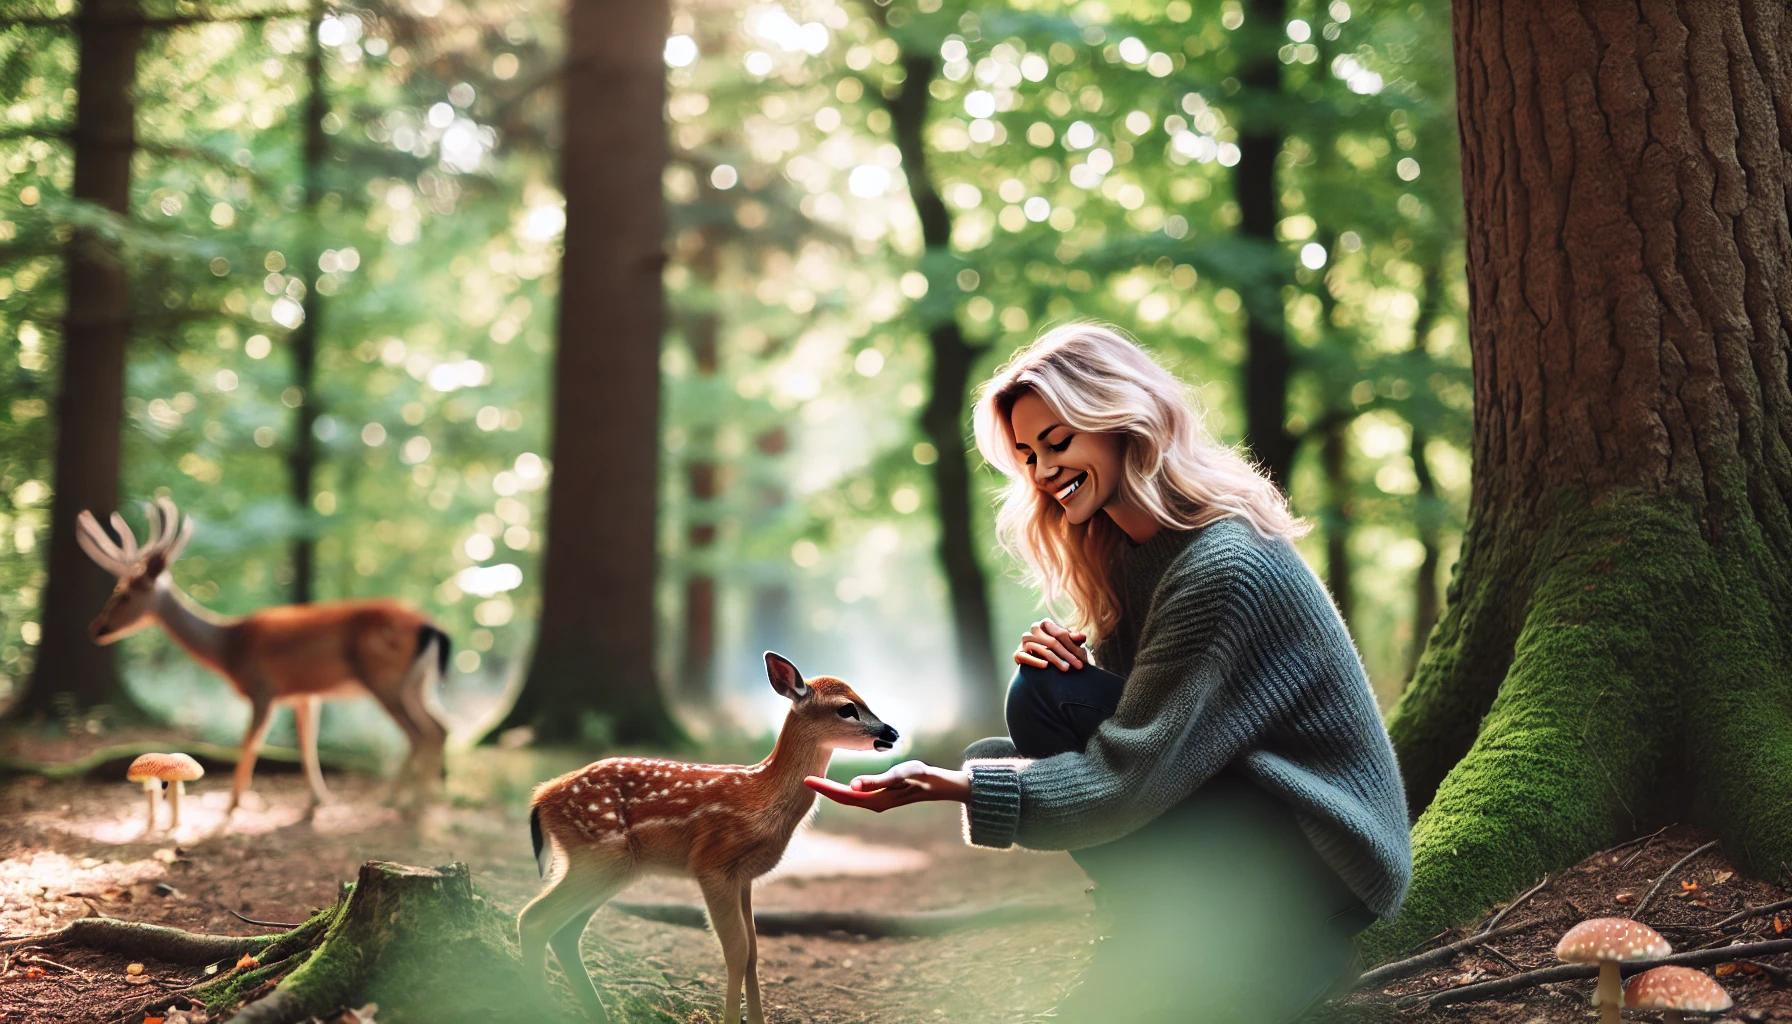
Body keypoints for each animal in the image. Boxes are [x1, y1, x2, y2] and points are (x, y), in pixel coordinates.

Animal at [80, 498, 451, 817]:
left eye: (124, 594)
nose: (96, 628)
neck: (228, 647)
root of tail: (431, 626)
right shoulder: (304, 695)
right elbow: (306, 745)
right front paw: (317, 800)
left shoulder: (262, 689)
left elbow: (249, 744)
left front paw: (232, 803)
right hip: (418, 684)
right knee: (441, 727)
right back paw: (413, 799)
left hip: (386, 679)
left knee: (421, 733)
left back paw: (407, 803)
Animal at [523, 652, 903, 1018]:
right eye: (847, 708)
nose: (892, 733)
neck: (762, 796)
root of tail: (541, 797)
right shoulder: (713, 864)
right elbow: (736, 951)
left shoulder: (744, 876)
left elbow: (753, 952)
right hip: (598, 854)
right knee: (535, 919)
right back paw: (536, 1006)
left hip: (613, 868)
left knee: (564, 932)